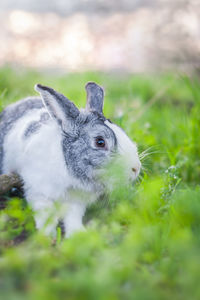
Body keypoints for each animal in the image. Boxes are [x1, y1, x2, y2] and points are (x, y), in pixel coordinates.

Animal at [0, 82, 141, 237]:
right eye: (100, 142)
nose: (136, 168)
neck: (67, 167)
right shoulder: (39, 193)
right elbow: (46, 216)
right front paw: (47, 236)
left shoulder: (76, 202)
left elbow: (72, 217)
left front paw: (77, 234)